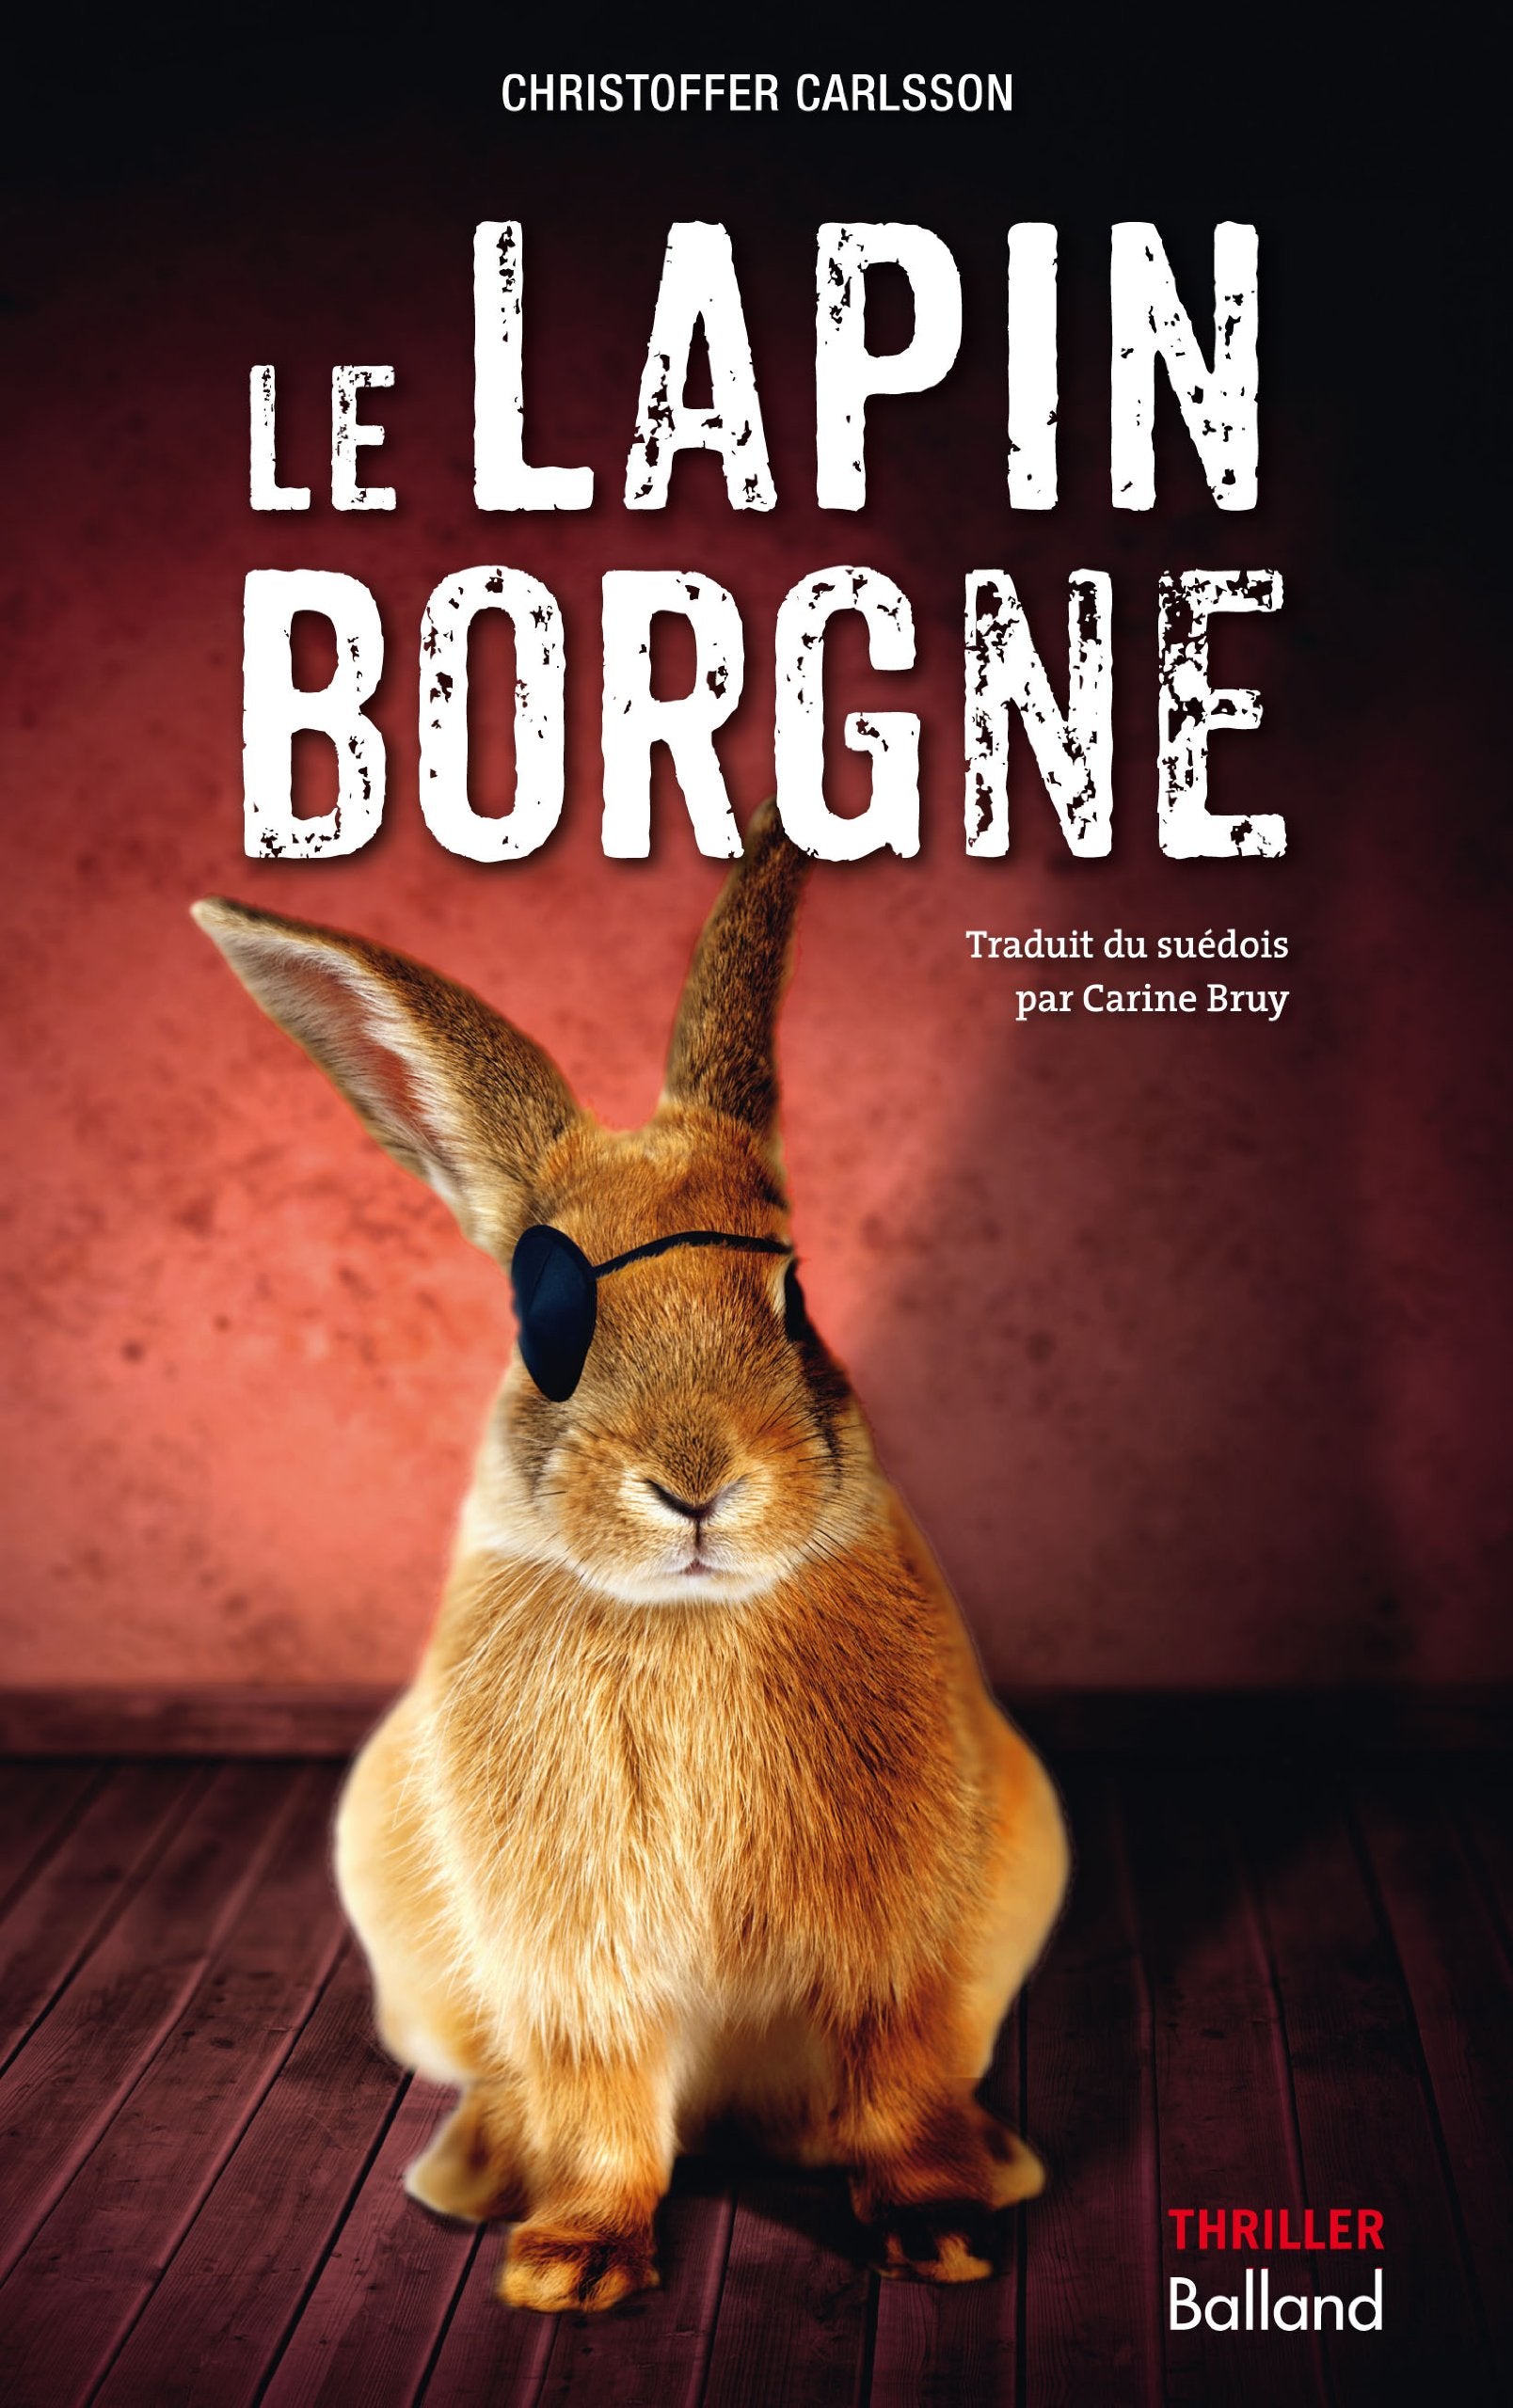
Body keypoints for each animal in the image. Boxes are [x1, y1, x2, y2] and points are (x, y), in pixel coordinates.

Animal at [193, 801, 1069, 2315]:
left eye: (794, 1297)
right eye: (540, 1316)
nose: (699, 1483)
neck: (687, 1621)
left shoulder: (899, 1953)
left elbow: (895, 2083)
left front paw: (945, 2235)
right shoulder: (569, 1965)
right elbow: (597, 2100)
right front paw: (569, 2265)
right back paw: (475, 2172)